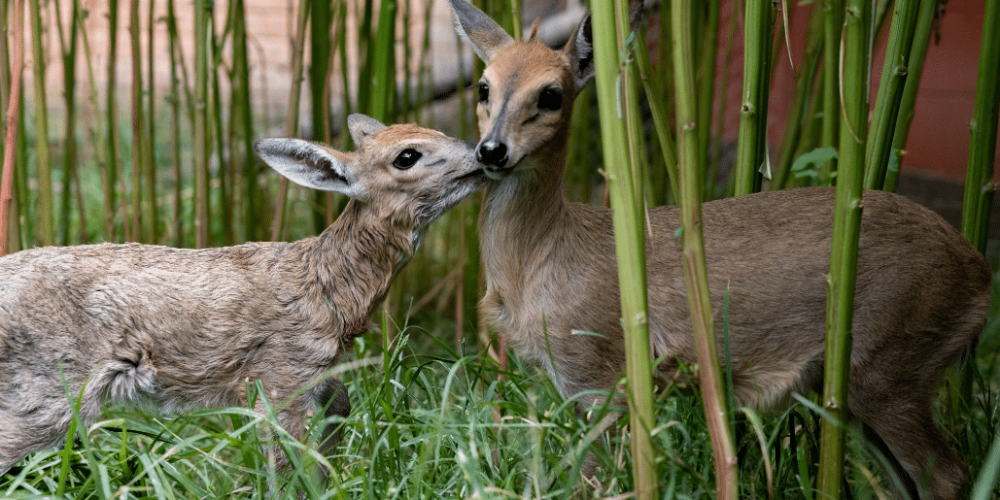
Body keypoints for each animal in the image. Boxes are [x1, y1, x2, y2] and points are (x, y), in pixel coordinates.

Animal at [0, 115, 486, 478]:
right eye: (407, 156)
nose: (485, 153)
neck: (325, 284)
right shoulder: (279, 374)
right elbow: (287, 460)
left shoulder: (321, 371)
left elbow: (337, 416)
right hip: (49, 388)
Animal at [450, 1, 996, 498]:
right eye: (483, 88)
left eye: (552, 95)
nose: (491, 150)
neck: (541, 262)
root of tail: (979, 272)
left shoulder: (600, 372)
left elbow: (600, 480)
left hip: (891, 356)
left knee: (948, 473)